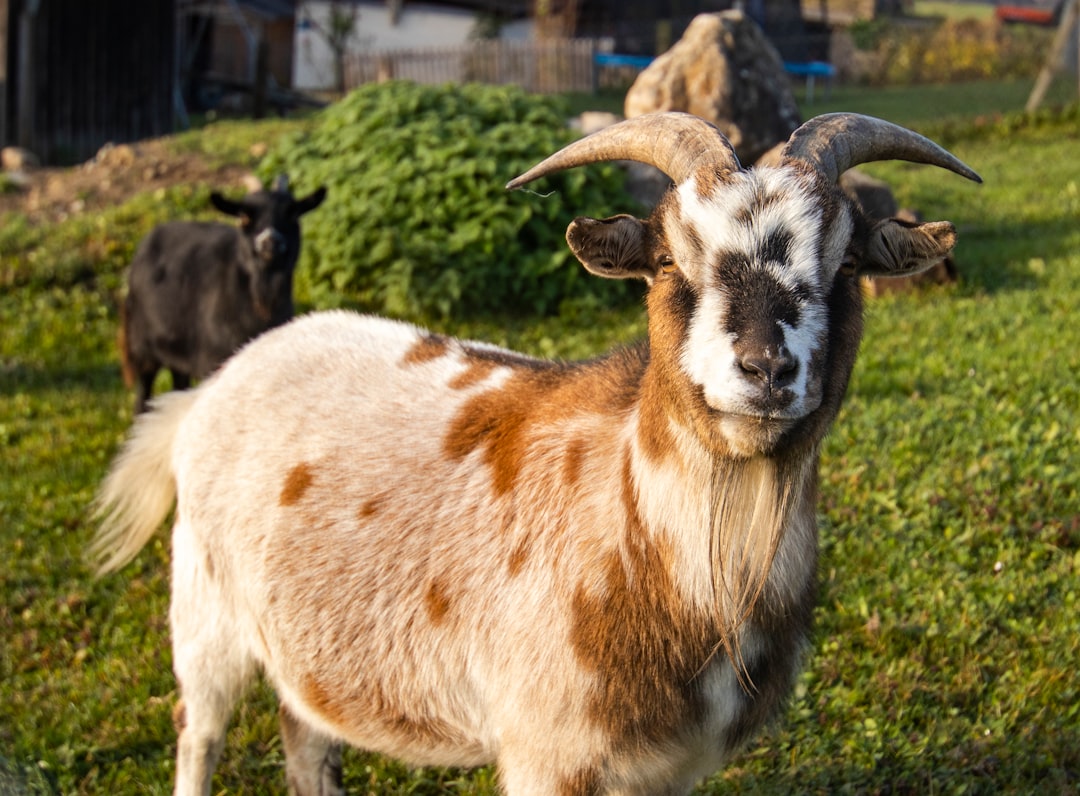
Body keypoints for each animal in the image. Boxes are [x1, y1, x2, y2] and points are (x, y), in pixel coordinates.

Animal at [119, 176, 326, 413]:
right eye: (244, 217)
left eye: (292, 214)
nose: (270, 243)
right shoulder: (212, 360)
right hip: (142, 345)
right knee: (143, 392)